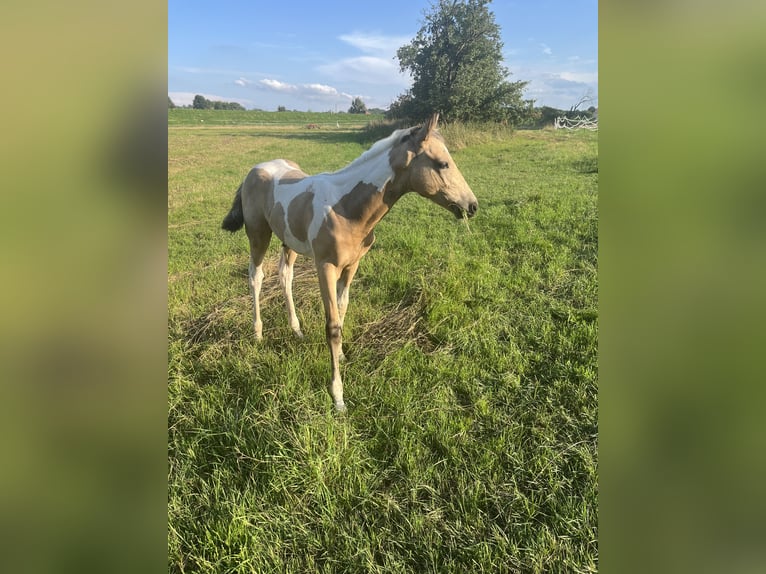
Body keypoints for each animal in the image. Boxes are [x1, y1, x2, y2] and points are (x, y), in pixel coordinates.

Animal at [219, 112, 476, 412]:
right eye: (443, 163)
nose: (472, 206)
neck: (346, 209)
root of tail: (255, 169)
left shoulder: (352, 265)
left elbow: (342, 308)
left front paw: (341, 356)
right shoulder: (325, 267)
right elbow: (332, 326)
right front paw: (338, 396)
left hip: (289, 240)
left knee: (285, 276)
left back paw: (296, 330)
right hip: (258, 234)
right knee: (256, 276)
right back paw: (258, 334)